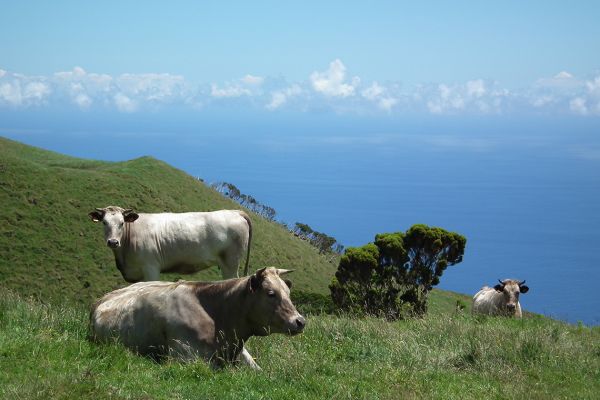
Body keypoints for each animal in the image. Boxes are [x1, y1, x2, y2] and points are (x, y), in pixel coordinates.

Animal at [86, 206, 251, 282]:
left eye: (121, 223)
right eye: (104, 222)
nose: (113, 242)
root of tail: (235, 211)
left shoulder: (151, 268)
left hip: (231, 263)